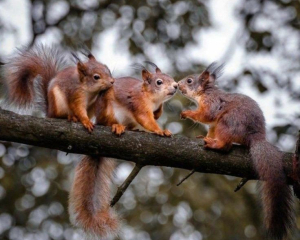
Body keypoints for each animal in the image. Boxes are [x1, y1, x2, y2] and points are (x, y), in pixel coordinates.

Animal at [68, 62, 178, 239]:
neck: (151, 98)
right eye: (159, 82)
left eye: (171, 78)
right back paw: (117, 126)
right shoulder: (138, 104)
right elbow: (146, 119)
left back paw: (134, 130)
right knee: (109, 122)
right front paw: (160, 130)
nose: (176, 86)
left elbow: (156, 115)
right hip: (108, 110)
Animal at [178, 62, 296, 239]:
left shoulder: (212, 103)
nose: (177, 85)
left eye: (189, 81)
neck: (205, 93)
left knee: (225, 145)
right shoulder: (213, 124)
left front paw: (187, 113)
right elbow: (210, 128)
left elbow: (206, 115)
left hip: (228, 122)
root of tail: (255, 137)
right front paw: (203, 136)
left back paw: (215, 144)